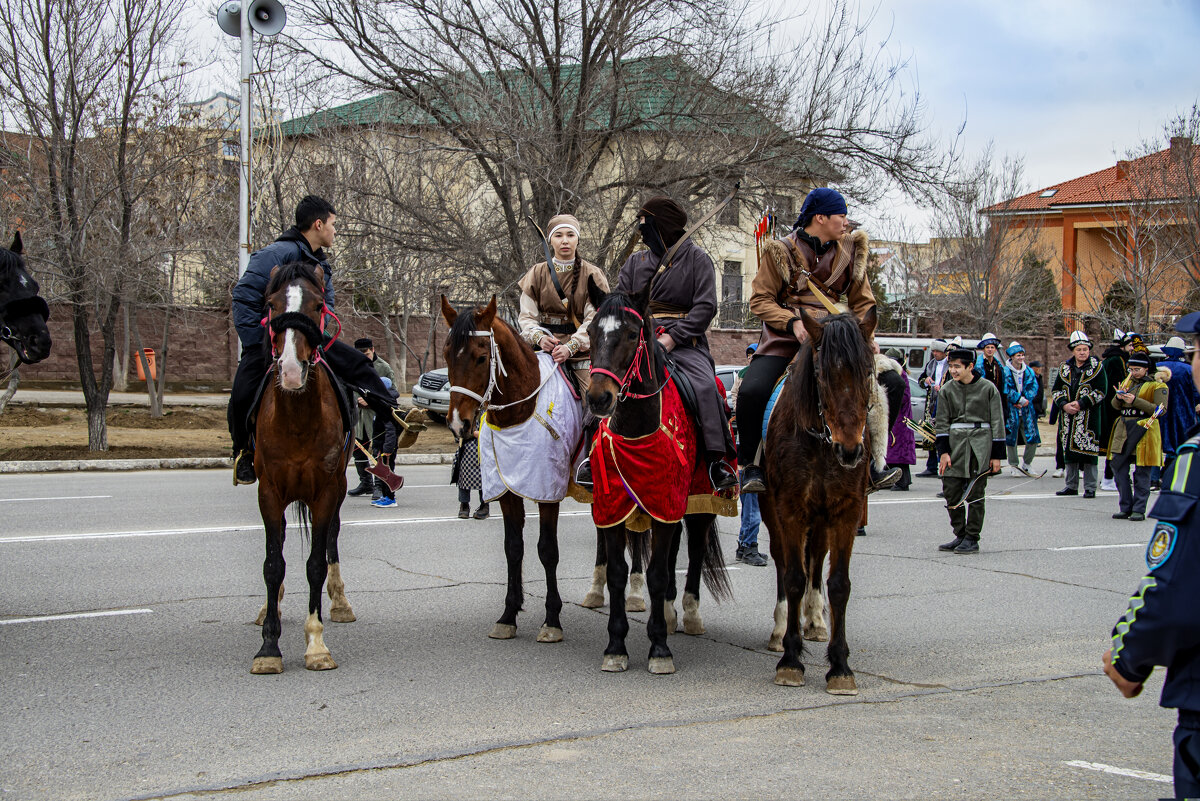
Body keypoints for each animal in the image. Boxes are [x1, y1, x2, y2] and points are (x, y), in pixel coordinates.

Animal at [763, 306, 878, 695]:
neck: (821, 444)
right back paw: (782, 629)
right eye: (822, 375)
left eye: (868, 371)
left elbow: (839, 584)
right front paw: (790, 659)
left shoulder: (846, 512)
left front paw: (840, 665)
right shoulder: (789, 510)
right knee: (785, 563)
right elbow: (793, 577)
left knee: (816, 557)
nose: (851, 450)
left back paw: (814, 620)